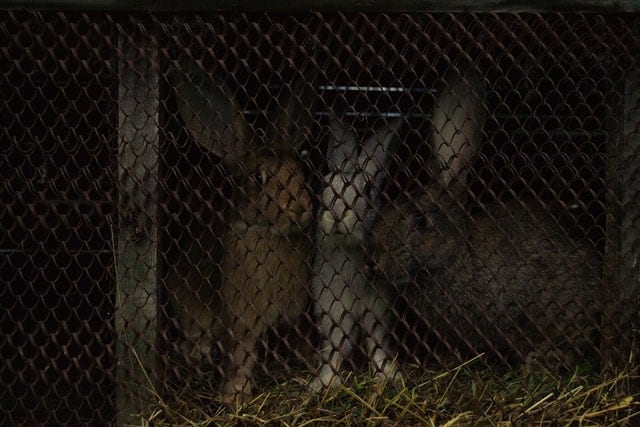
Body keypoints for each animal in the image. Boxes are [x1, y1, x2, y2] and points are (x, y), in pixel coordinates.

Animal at [167, 58, 318, 398]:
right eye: (258, 179)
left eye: (300, 171)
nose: (300, 207)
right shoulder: (238, 318)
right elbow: (240, 353)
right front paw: (234, 395)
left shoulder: (296, 314)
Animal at [309, 115, 404, 392]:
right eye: (325, 183)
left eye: (369, 190)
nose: (337, 214)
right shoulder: (333, 310)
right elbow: (335, 347)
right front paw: (323, 383)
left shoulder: (379, 309)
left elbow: (378, 343)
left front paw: (389, 376)